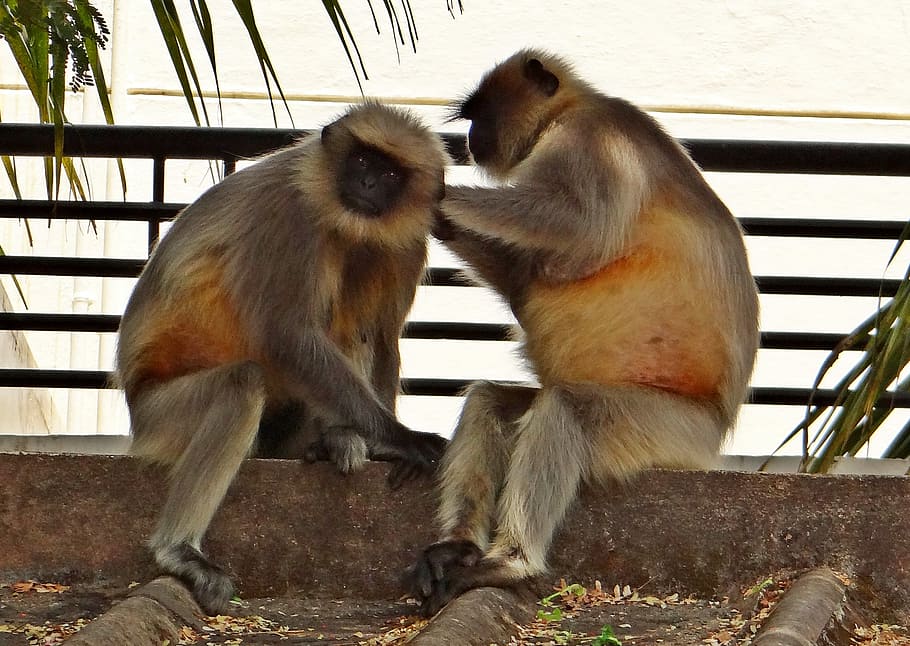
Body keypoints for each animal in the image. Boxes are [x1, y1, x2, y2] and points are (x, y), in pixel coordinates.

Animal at [116, 102, 450, 615]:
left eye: (389, 173)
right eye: (361, 161)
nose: (366, 183)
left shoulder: (408, 242)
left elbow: (383, 336)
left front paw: (384, 444)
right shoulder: (293, 210)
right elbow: (286, 335)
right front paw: (401, 438)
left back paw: (333, 440)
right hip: (157, 416)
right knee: (243, 384)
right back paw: (179, 553)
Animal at [405, 49, 760, 615]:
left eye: (482, 114)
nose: (472, 138)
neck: (570, 110)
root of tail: (718, 427)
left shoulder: (591, 142)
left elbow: (575, 224)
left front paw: (430, 193)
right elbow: (527, 283)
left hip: (668, 429)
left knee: (565, 408)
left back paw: (509, 563)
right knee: (490, 401)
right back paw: (457, 548)